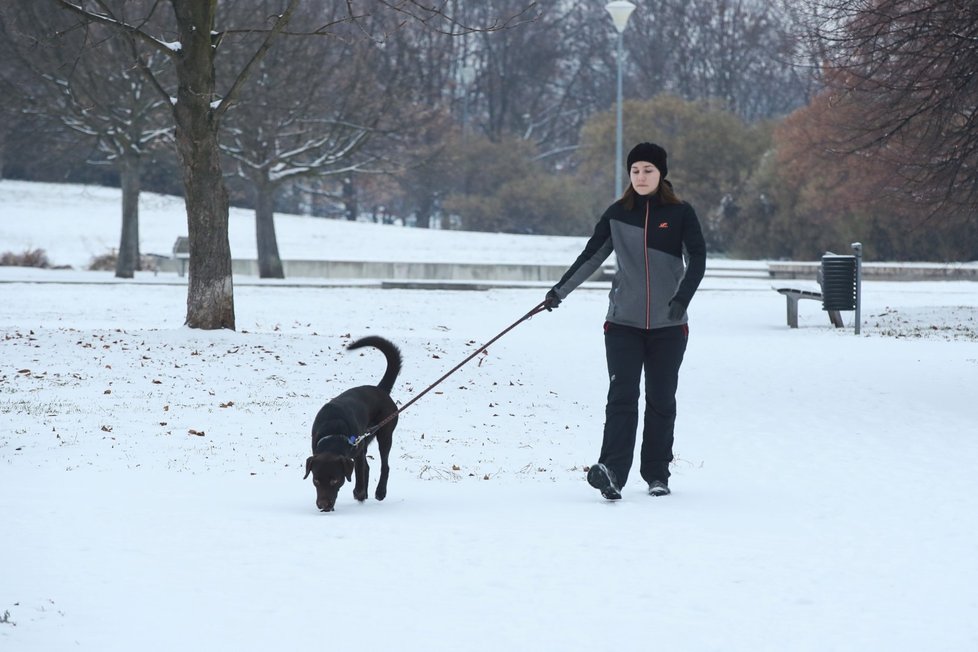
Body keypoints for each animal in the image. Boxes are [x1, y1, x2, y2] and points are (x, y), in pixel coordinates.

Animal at [302, 336, 400, 516]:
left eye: (334, 480)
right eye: (316, 480)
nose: (323, 505)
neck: (333, 431)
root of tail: (380, 390)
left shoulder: (358, 450)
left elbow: (360, 474)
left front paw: (359, 493)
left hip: (385, 434)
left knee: (385, 465)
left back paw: (379, 492)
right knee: (369, 466)